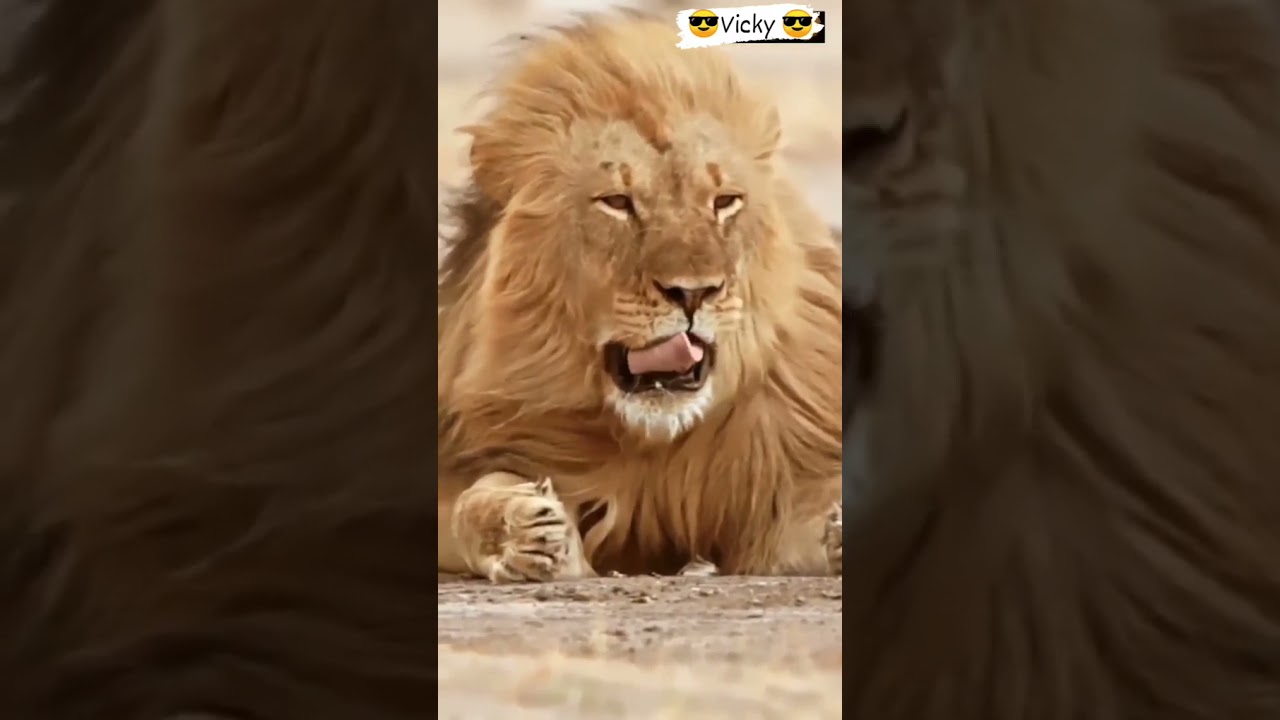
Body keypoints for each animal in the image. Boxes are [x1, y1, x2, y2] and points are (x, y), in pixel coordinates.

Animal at [437, 13, 844, 580]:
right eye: (617, 202)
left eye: (724, 201)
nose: (693, 293)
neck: (656, 441)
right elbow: (471, 501)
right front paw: (521, 529)